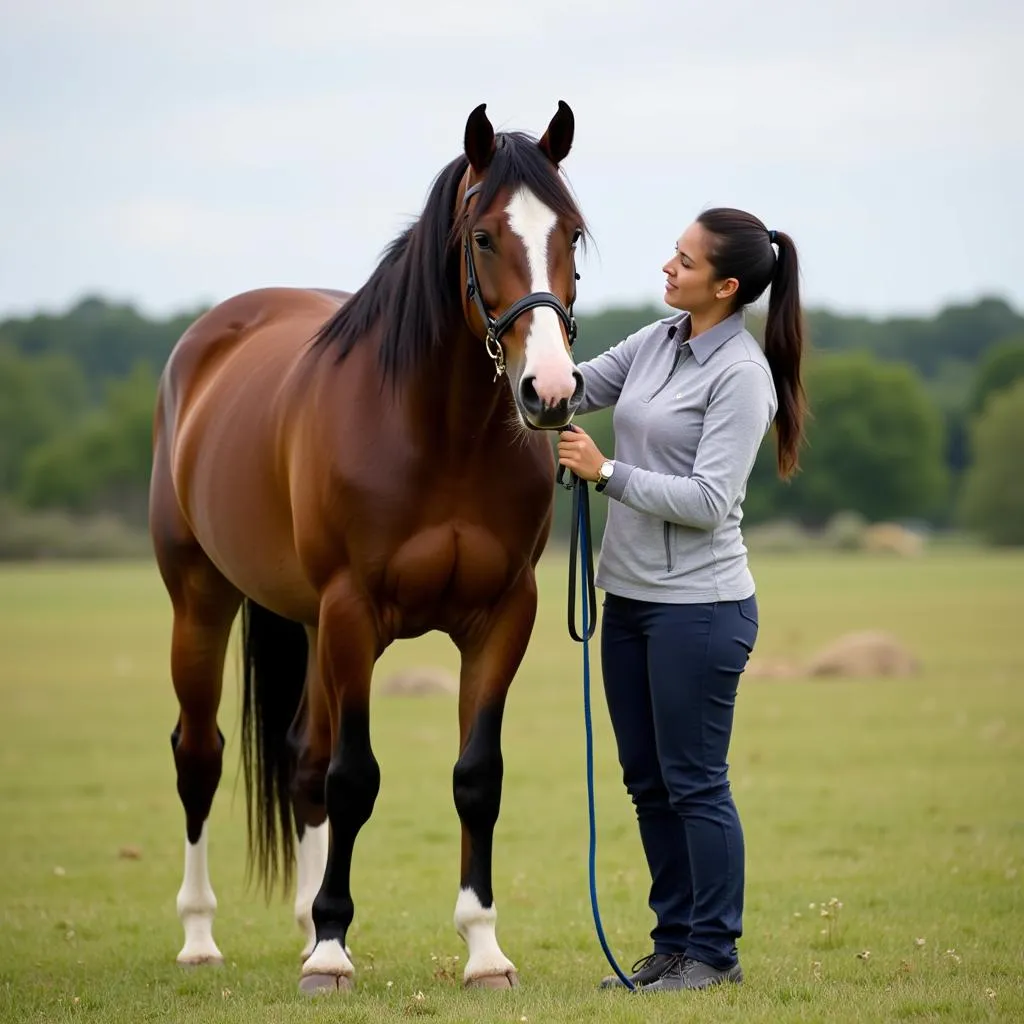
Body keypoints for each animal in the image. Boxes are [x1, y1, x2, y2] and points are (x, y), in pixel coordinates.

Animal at [148, 101, 589, 991]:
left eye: (572, 233)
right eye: (483, 236)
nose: (551, 392)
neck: (440, 432)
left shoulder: (502, 617)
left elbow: (476, 777)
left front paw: (483, 950)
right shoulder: (354, 611)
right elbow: (355, 778)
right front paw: (330, 950)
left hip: (310, 625)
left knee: (300, 758)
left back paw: (302, 918)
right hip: (203, 601)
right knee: (200, 755)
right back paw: (202, 935)